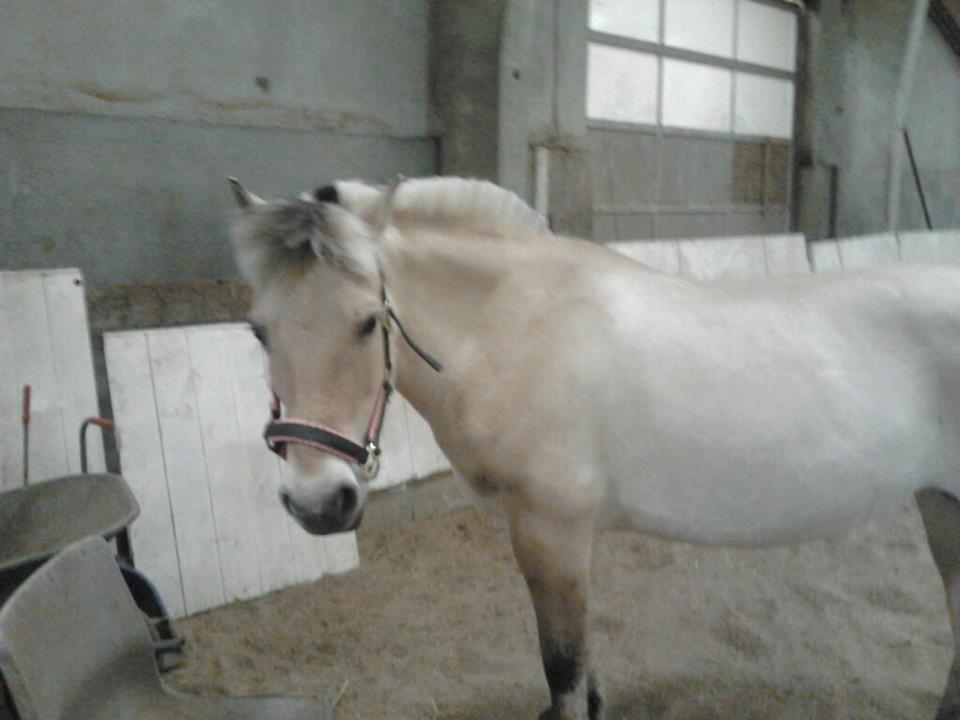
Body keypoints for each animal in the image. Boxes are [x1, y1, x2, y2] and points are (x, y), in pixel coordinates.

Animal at [228, 176, 960, 720]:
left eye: (368, 321)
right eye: (259, 330)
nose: (318, 503)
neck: (515, 325)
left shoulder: (551, 529)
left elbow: (563, 662)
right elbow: (579, 659)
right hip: (942, 506)